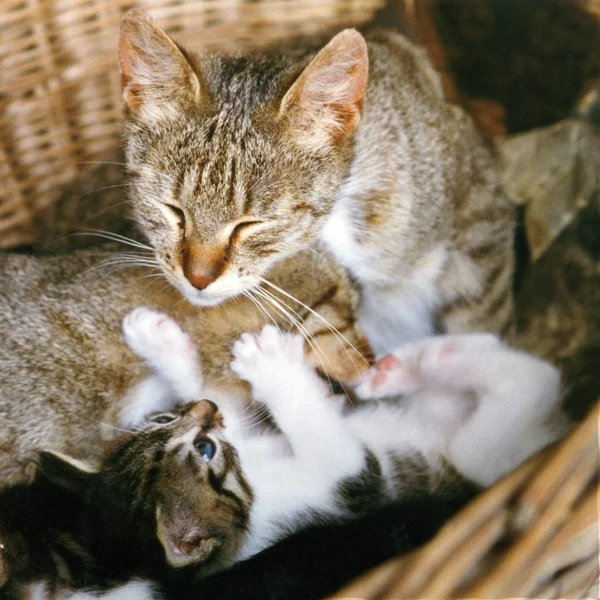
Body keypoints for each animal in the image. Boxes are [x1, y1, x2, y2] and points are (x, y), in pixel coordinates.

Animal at [0, 308, 568, 596]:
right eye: (204, 452)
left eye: (165, 420)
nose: (202, 413)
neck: (255, 479)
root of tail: (548, 435)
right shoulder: (347, 480)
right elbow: (322, 437)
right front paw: (272, 365)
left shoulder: (245, 426)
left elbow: (218, 389)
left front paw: (158, 342)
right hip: (482, 447)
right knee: (531, 378)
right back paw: (430, 361)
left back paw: (407, 365)